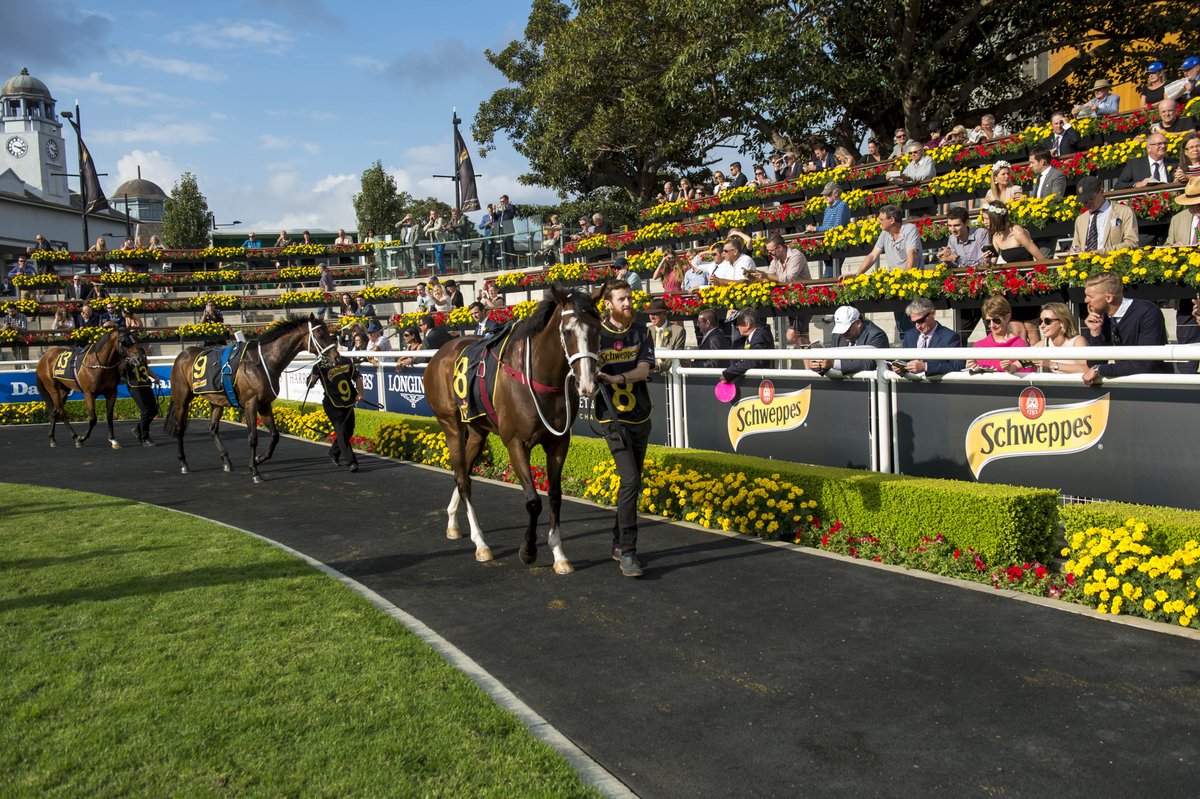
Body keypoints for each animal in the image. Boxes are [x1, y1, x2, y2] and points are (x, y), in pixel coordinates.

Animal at [162, 314, 340, 482]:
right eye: (320, 334)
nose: (336, 357)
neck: (263, 362)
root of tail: (181, 355)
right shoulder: (251, 404)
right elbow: (253, 437)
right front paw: (255, 471)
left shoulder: (265, 404)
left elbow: (275, 436)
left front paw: (259, 459)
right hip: (182, 399)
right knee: (180, 428)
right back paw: (184, 463)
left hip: (216, 401)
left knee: (212, 428)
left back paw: (226, 461)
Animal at [427, 283, 604, 568]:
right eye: (567, 331)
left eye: (597, 330)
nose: (587, 384)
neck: (541, 378)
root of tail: (441, 352)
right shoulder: (516, 443)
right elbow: (533, 501)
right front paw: (528, 550)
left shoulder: (559, 442)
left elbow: (555, 495)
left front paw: (559, 555)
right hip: (450, 424)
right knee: (463, 479)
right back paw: (481, 544)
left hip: (477, 431)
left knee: (462, 473)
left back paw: (453, 521)